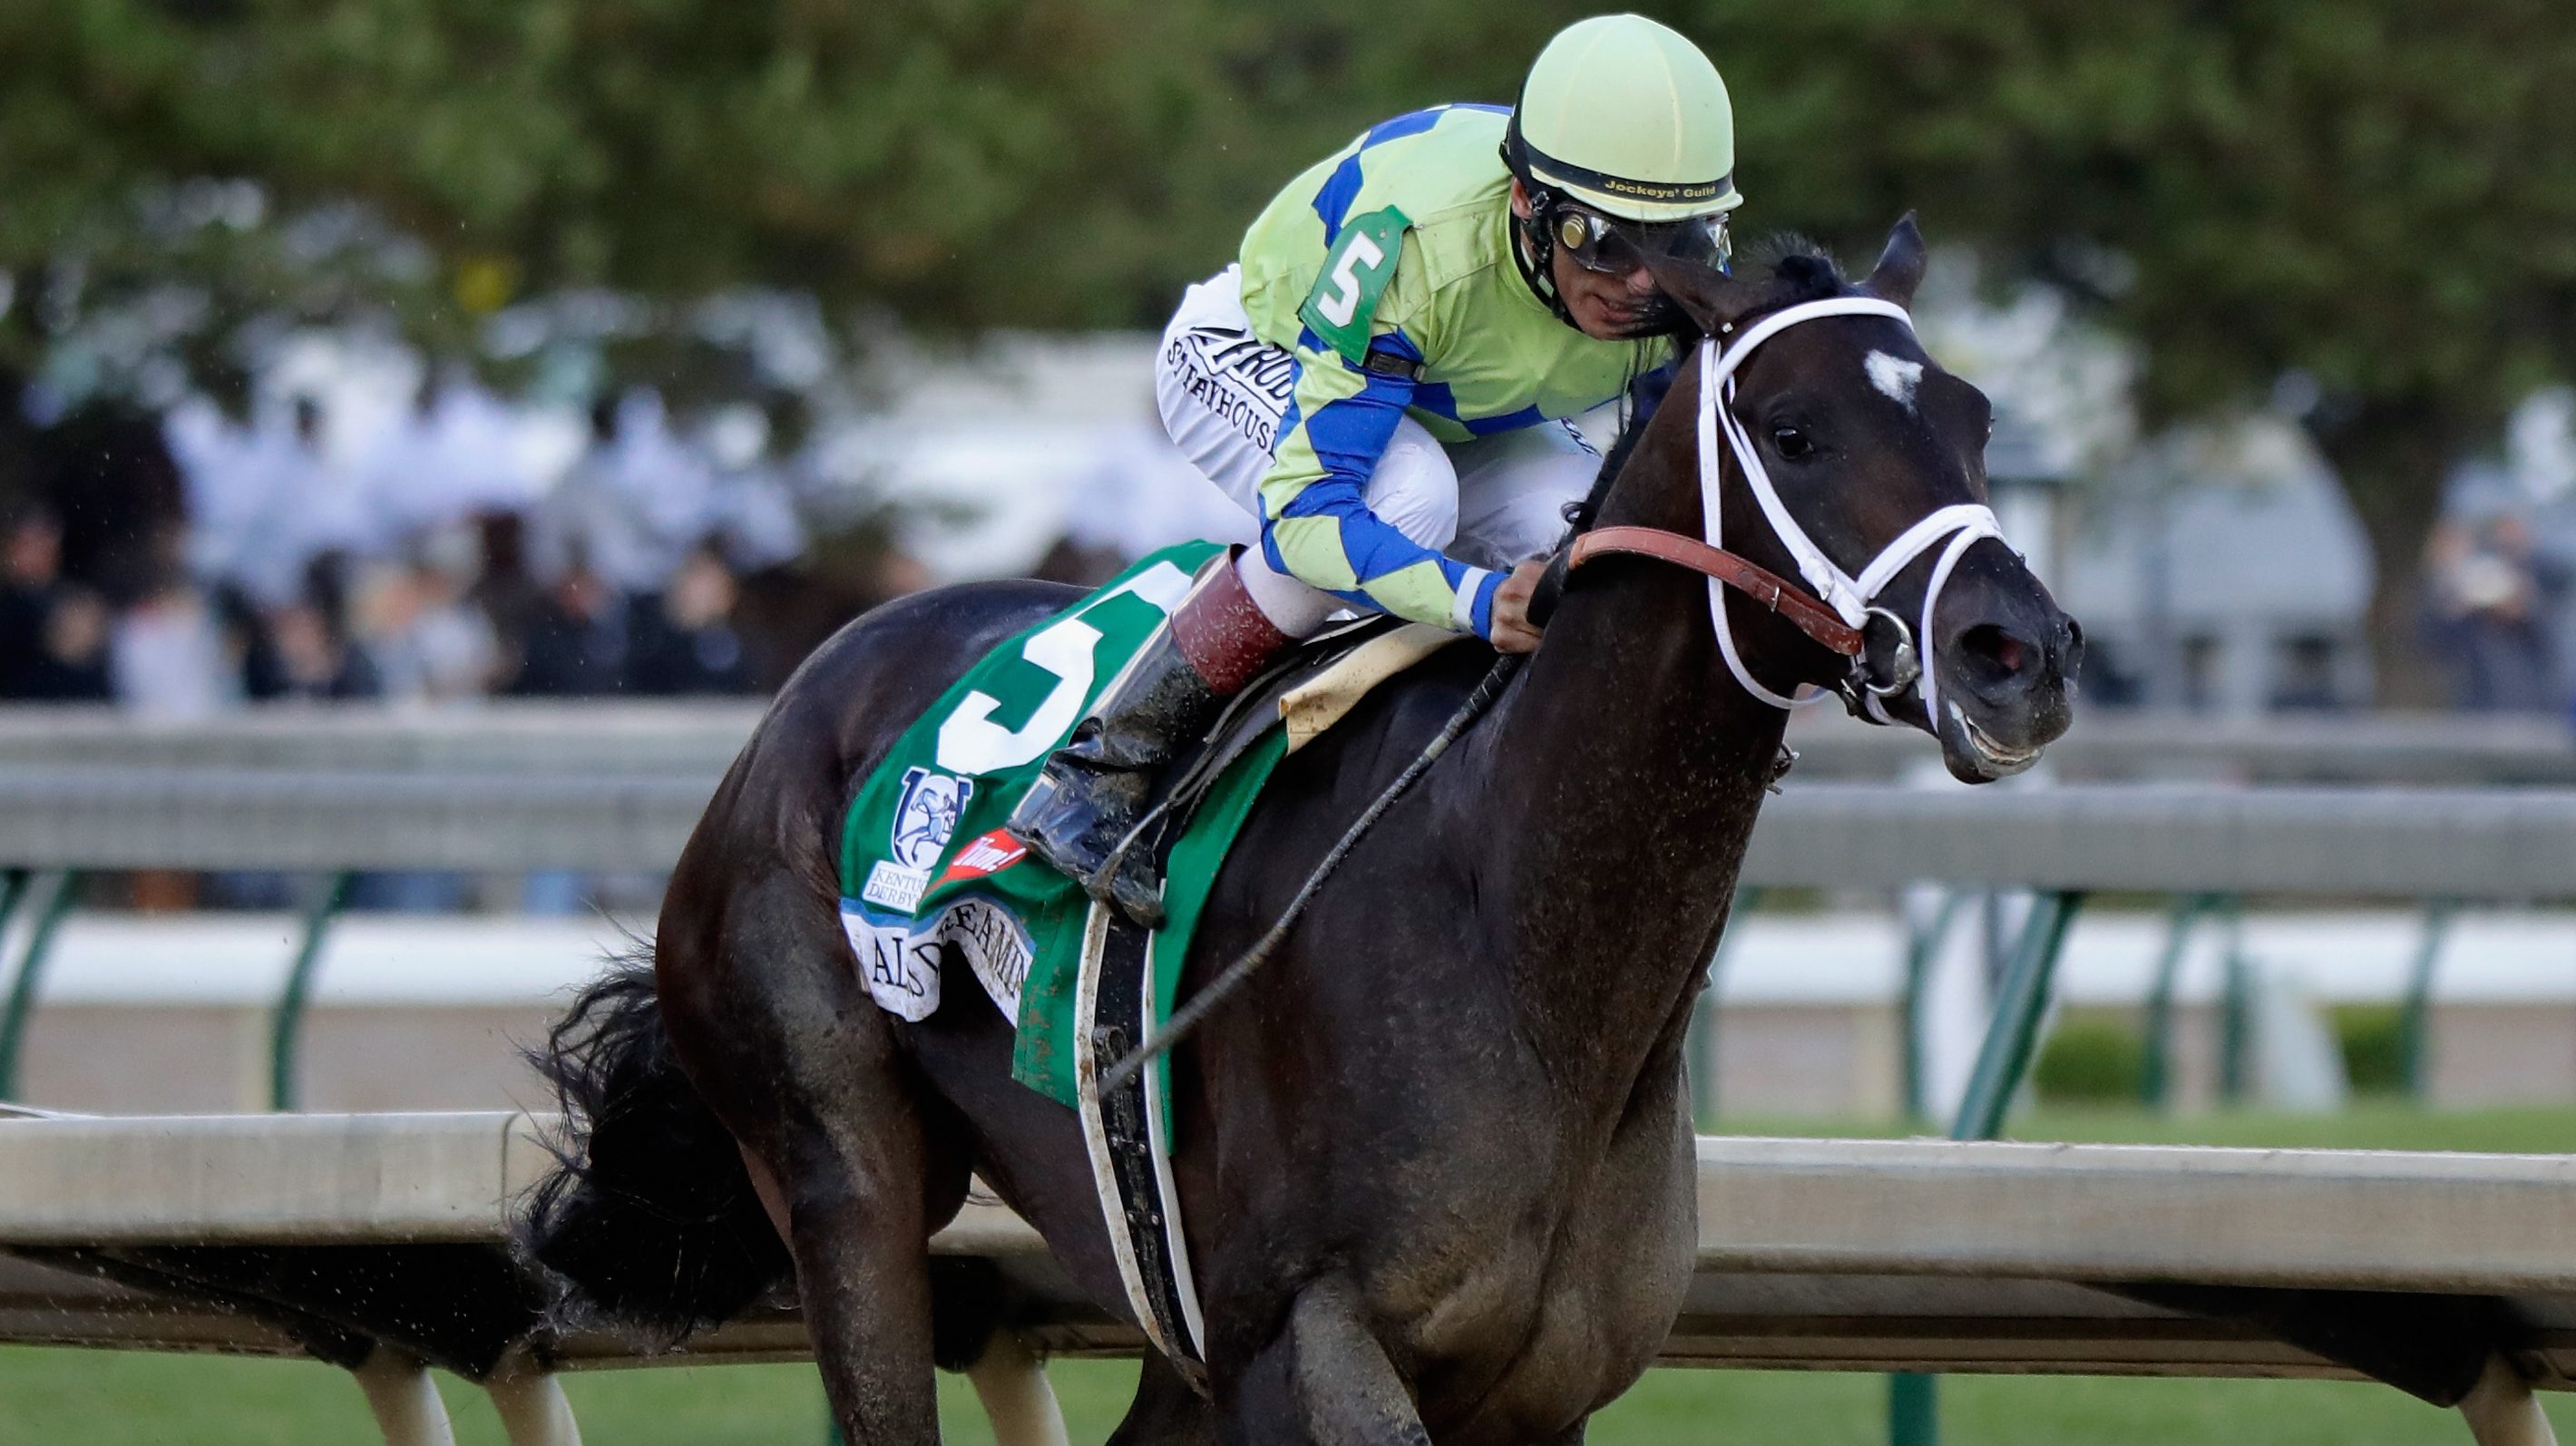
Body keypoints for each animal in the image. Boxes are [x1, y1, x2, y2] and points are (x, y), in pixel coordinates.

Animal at [517, 216, 2071, 1443]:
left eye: (1977, 420)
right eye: (1796, 433)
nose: (2021, 654)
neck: (1522, 937)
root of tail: (798, 698)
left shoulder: (1531, 1389)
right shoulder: (1307, 1339)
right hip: (843, 1178)